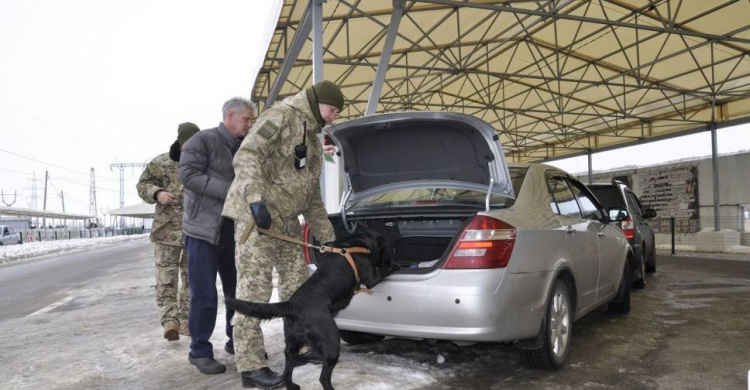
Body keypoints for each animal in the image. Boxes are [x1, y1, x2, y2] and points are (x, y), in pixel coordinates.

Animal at [225, 229, 396, 390]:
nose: (391, 258)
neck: (356, 242)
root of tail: (292, 305)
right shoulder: (371, 277)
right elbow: (385, 270)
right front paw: (395, 265)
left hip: (292, 345)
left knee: (287, 372)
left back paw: (293, 385)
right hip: (331, 342)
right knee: (323, 378)